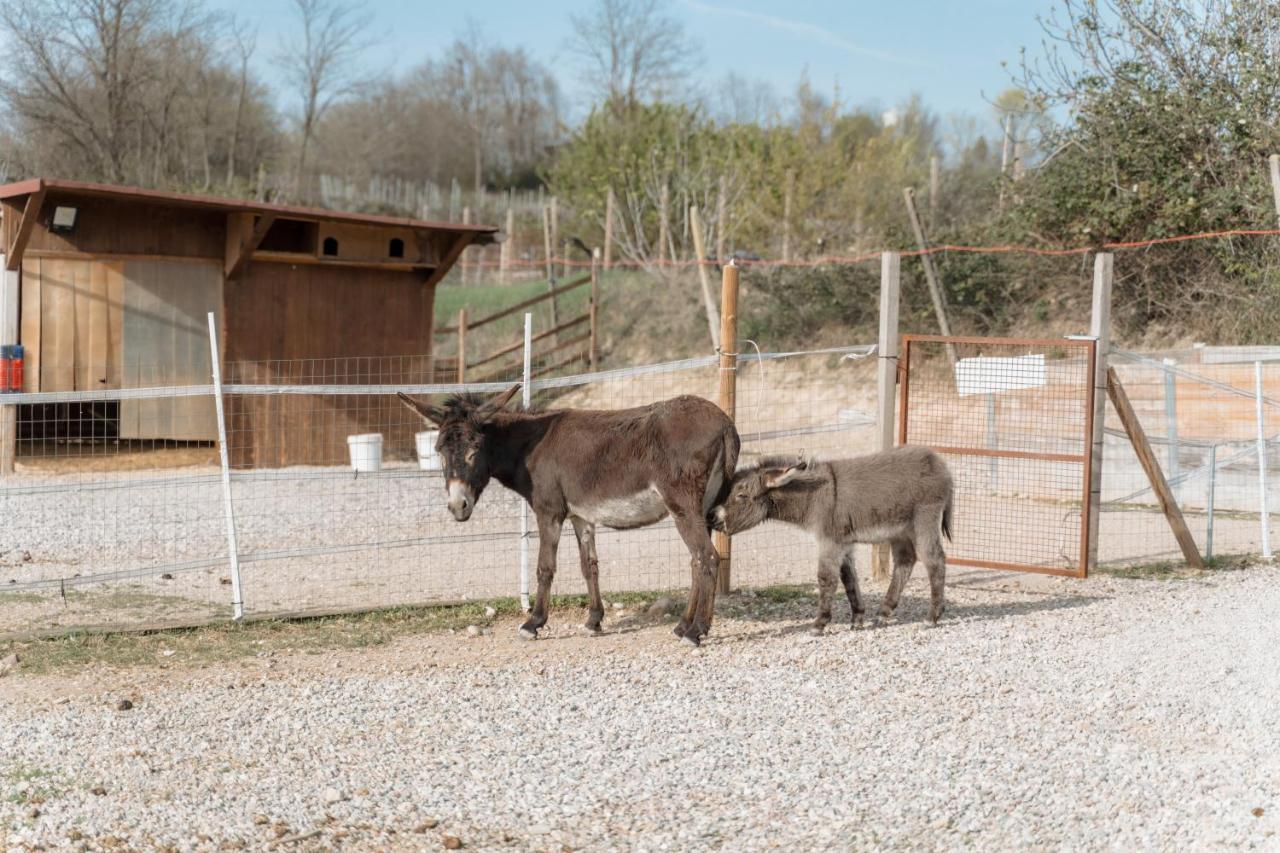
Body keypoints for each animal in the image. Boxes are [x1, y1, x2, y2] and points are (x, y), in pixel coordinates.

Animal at [711, 445, 952, 630]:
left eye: (742, 495)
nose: (712, 518)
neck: (815, 496)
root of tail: (940, 463)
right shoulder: (844, 543)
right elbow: (848, 579)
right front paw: (857, 619)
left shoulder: (830, 541)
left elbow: (826, 578)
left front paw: (820, 623)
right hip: (900, 531)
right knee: (905, 562)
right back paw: (884, 612)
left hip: (924, 520)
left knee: (934, 561)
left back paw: (932, 617)